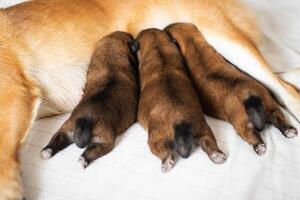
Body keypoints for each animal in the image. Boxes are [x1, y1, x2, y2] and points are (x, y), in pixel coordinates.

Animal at [40, 31, 139, 168]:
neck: (110, 55)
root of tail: (84, 120)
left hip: (66, 129)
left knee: (57, 139)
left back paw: (47, 152)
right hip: (104, 142)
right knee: (91, 151)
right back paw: (83, 161)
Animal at [136, 28, 225, 173]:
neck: (157, 45)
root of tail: (180, 122)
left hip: (155, 140)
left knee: (165, 152)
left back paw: (166, 162)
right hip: (204, 129)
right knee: (209, 142)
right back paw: (217, 155)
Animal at [165, 23, 298, 155]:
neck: (192, 42)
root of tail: (251, 98)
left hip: (243, 124)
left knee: (251, 135)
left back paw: (259, 147)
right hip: (271, 106)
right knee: (278, 118)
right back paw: (289, 131)